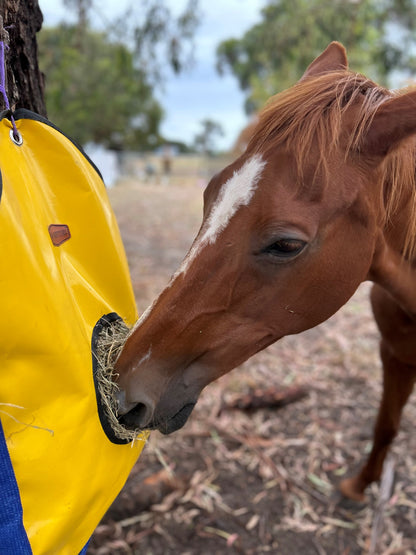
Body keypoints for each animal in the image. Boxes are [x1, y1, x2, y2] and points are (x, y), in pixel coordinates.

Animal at [114, 42, 416, 504]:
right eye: (209, 194)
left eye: (286, 244)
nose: (121, 389)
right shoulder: (393, 353)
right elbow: (386, 425)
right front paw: (358, 486)